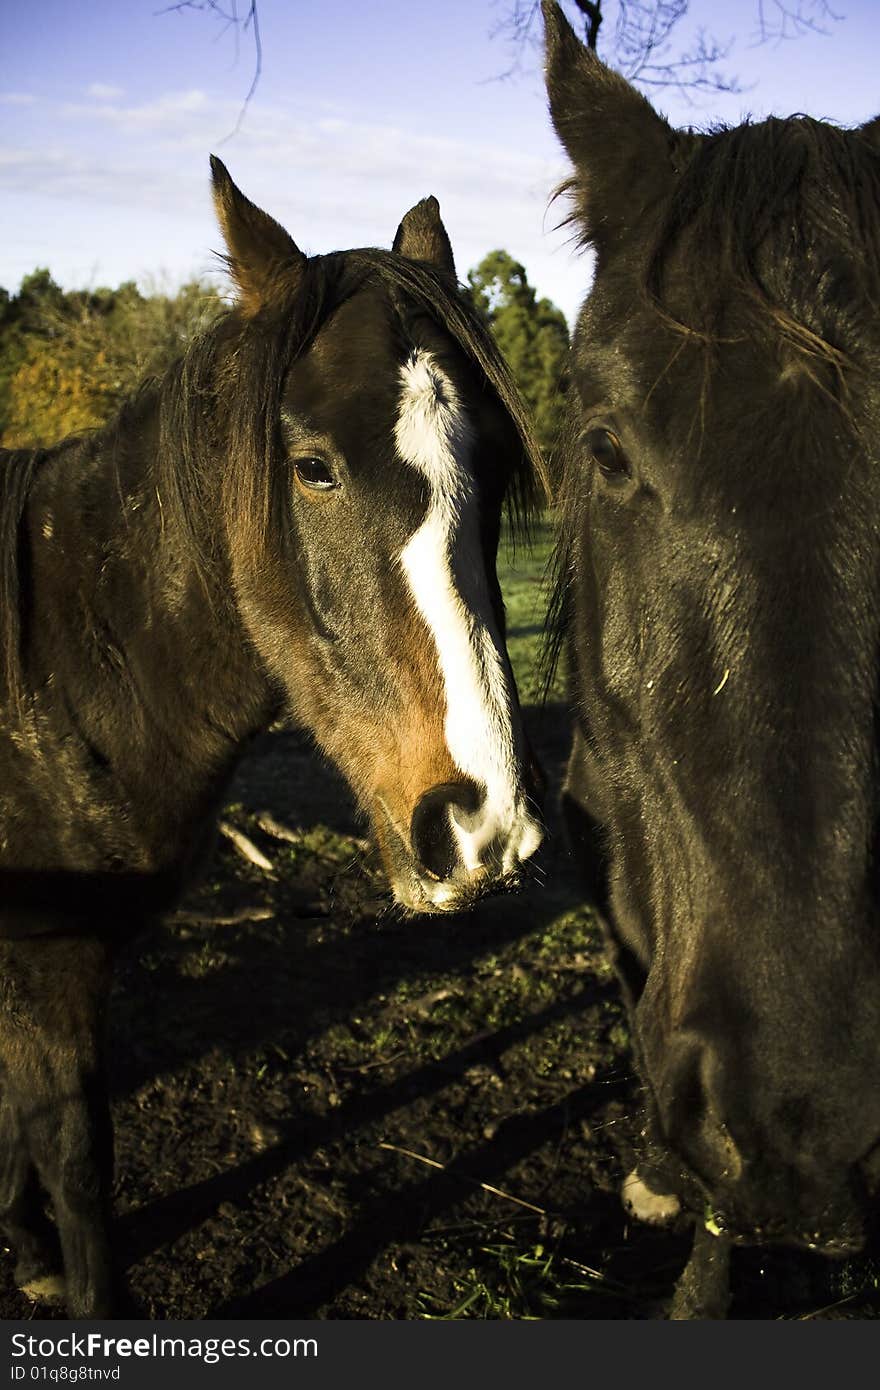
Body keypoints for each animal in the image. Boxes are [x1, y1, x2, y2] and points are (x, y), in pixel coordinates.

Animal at [0, 157, 544, 1317]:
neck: (59, 658)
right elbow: (73, 1155)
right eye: (312, 466)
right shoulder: (48, 957)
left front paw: (23, 1251)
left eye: (495, 465)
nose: (483, 828)